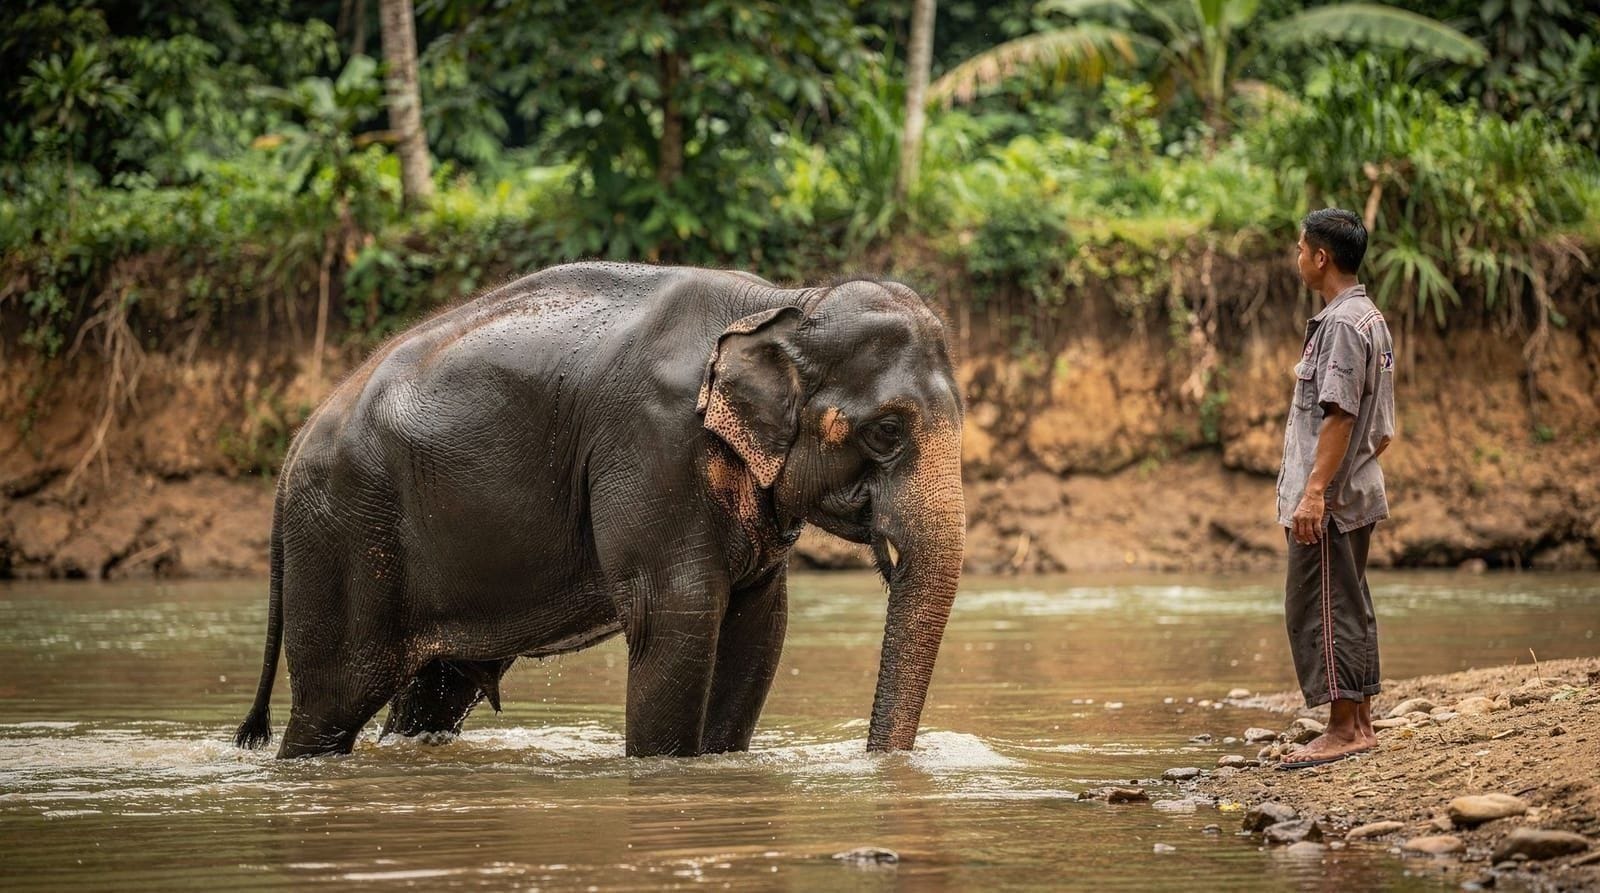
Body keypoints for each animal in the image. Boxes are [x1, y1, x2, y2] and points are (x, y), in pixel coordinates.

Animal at [233, 262, 965, 758]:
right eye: (887, 432)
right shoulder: (653, 445)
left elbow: (760, 625)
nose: (878, 762)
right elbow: (677, 613)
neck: (781, 302)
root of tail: (294, 446)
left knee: (433, 694)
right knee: (332, 700)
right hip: (343, 535)